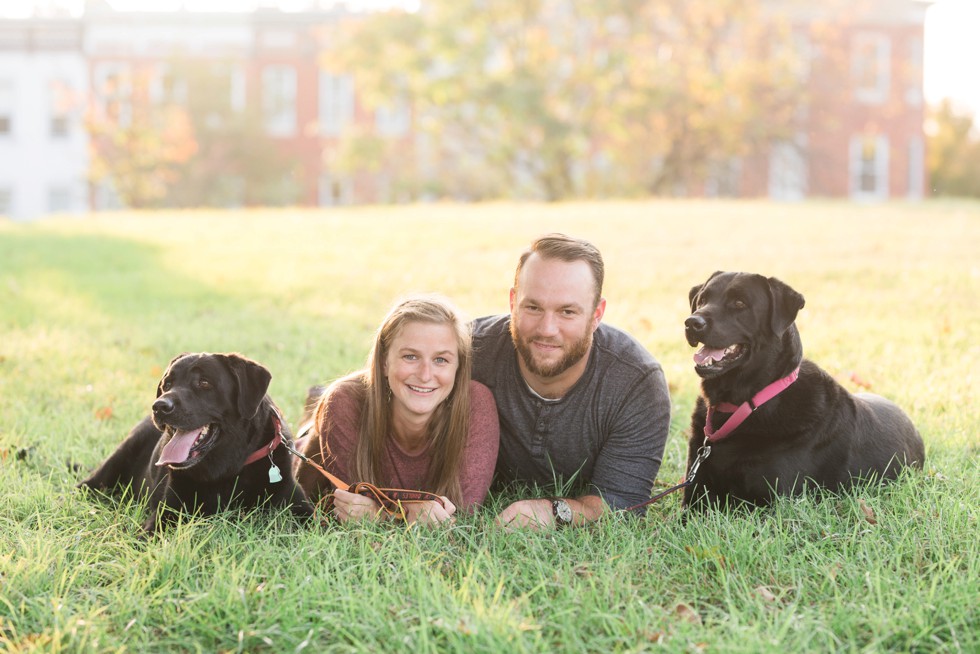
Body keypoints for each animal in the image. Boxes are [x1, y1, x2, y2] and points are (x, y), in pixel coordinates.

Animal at [78, 354, 312, 532]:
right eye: (167, 384)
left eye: (204, 383)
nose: (159, 406)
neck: (227, 471)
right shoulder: (166, 513)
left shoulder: (299, 504)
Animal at [680, 272, 928, 512]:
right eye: (702, 300)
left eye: (739, 303)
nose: (692, 322)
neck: (747, 403)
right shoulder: (695, 492)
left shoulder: (768, 503)